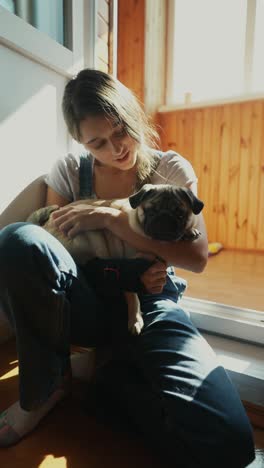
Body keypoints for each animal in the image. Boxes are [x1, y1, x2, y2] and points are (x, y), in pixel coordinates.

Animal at [27, 185, 204, 334]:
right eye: (151, 211)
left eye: (180, 214)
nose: (164, 220)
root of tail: (44, 225)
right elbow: (132, 295)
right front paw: (135, 319)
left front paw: (189, 231)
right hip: (91, 237)